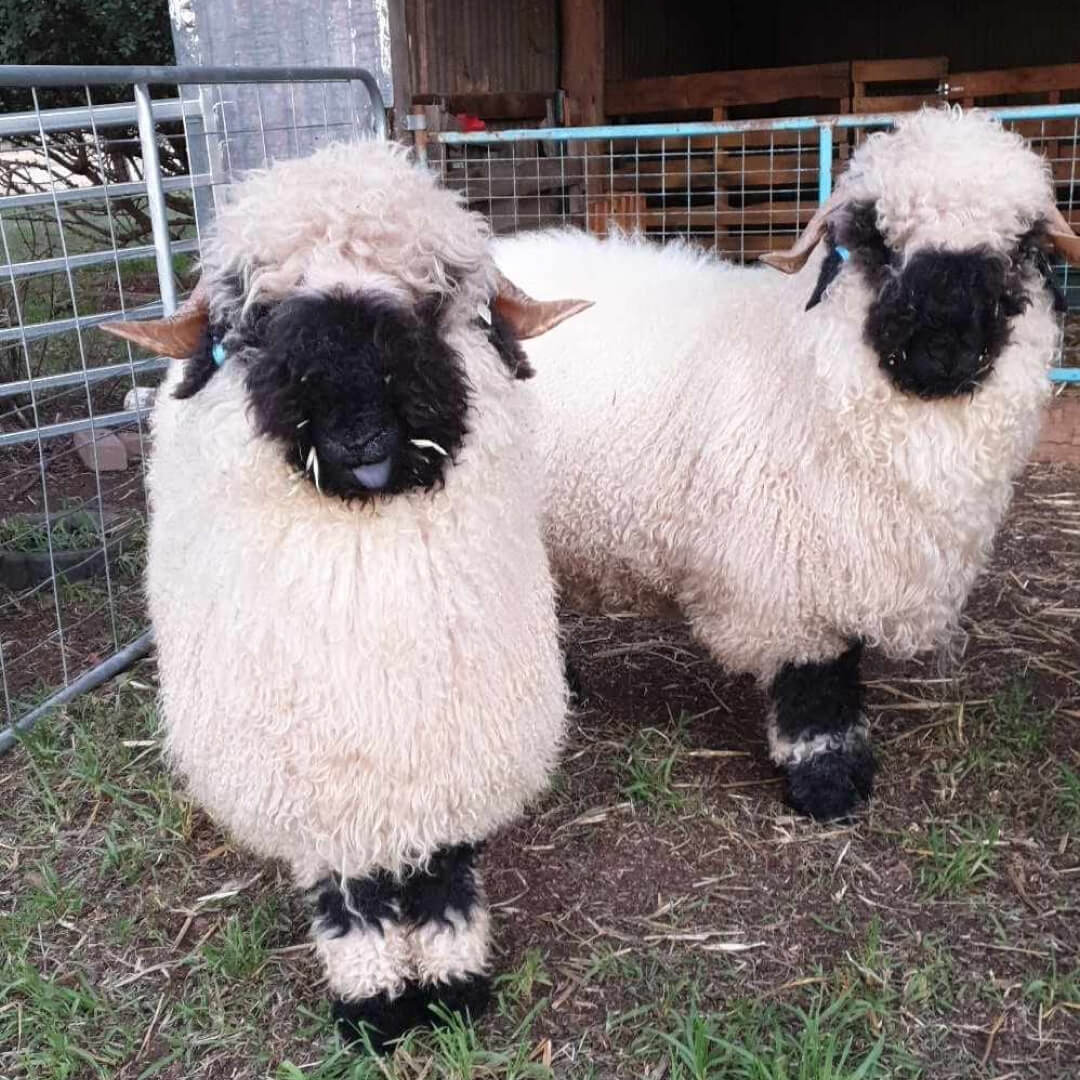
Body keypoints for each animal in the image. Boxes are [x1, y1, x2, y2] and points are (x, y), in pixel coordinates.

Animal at [102, 140, 590, 1051]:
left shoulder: (447, 761)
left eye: (434, 303)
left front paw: (453, 984)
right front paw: (372, 1005)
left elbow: (443, 876)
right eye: (258, 322)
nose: (360, 435)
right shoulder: (321, 784)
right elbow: (350, 899)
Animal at [494, 108, 1080, 822]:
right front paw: (827, 782)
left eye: (1021, 248)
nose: (941, 349)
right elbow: (816, 684)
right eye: (876, 240)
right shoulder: (789, 574)